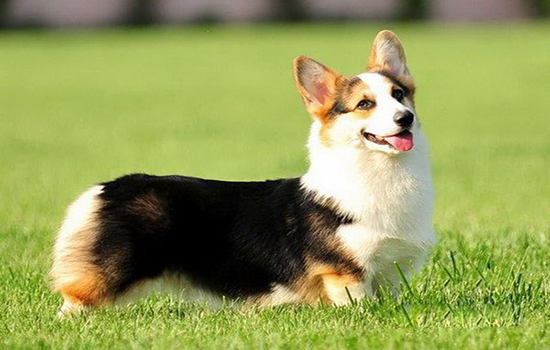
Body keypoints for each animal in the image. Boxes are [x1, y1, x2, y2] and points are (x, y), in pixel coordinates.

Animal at [54, 28, 438, 316]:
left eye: (399, 94)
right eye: (364, 104)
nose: (406, 118)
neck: (380, 174)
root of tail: (104, 189)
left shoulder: (390, 273)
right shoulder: (345, 273)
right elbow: (358, 305)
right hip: (114, 271)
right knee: (76, 298)